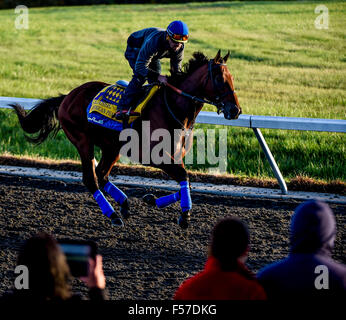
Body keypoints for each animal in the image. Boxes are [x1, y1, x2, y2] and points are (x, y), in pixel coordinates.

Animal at [12, 50, 242, 228]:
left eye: (232, 78)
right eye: (220, 79)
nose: (236, 110)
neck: (173, 109)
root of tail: (68, 96)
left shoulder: (176, 156)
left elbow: (186, 180)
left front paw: (151, 199)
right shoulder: (156, 157)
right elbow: (184, 177)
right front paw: (184, 215)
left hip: (112, 147)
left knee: (102, 174)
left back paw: (124, 204)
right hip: (83, 141)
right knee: (91, 179)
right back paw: (113, 215)